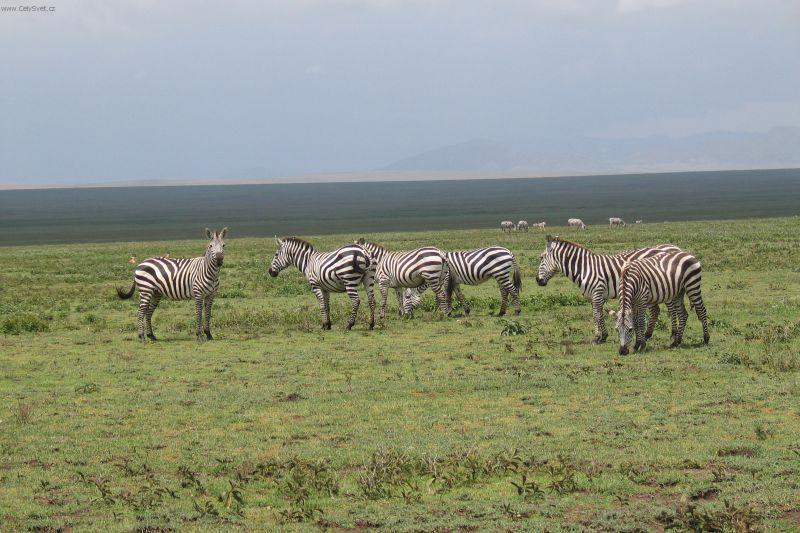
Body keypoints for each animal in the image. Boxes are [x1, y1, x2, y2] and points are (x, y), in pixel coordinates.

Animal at [536, 235, 680, 342]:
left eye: (541, 257)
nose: (538, 281)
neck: (584, 268)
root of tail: (665, 250)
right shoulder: (593, 296)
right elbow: (596, 314)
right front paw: (601, 335)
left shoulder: (597, 292)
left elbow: (597, 315)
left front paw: (598, 337)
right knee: (656, 311)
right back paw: (647, 335)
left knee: (672, 309)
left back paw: (673, 334)